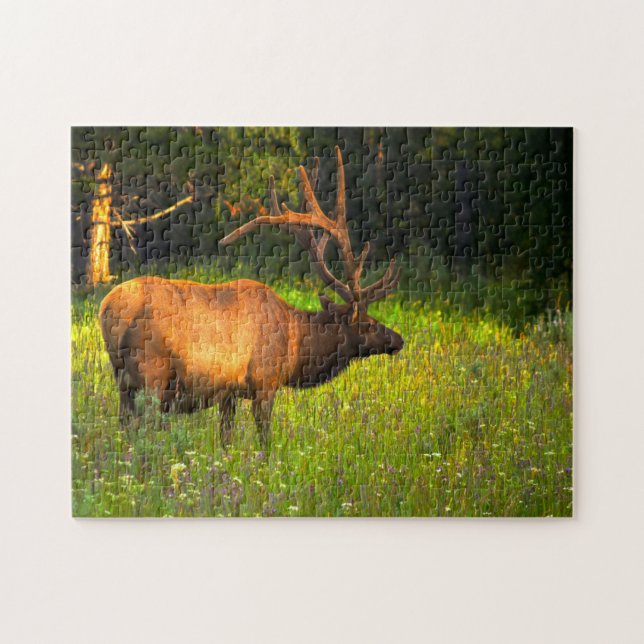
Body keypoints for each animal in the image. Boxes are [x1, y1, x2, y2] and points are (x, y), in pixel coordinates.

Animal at [99, 146, 404, 447]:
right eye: (368, 323)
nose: (398, 339)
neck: (297, 346)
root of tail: (107, 310)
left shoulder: (228, 393)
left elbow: (226, 438)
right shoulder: (264, 382)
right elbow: (264, 439)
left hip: (123, 381)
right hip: (151, 374)